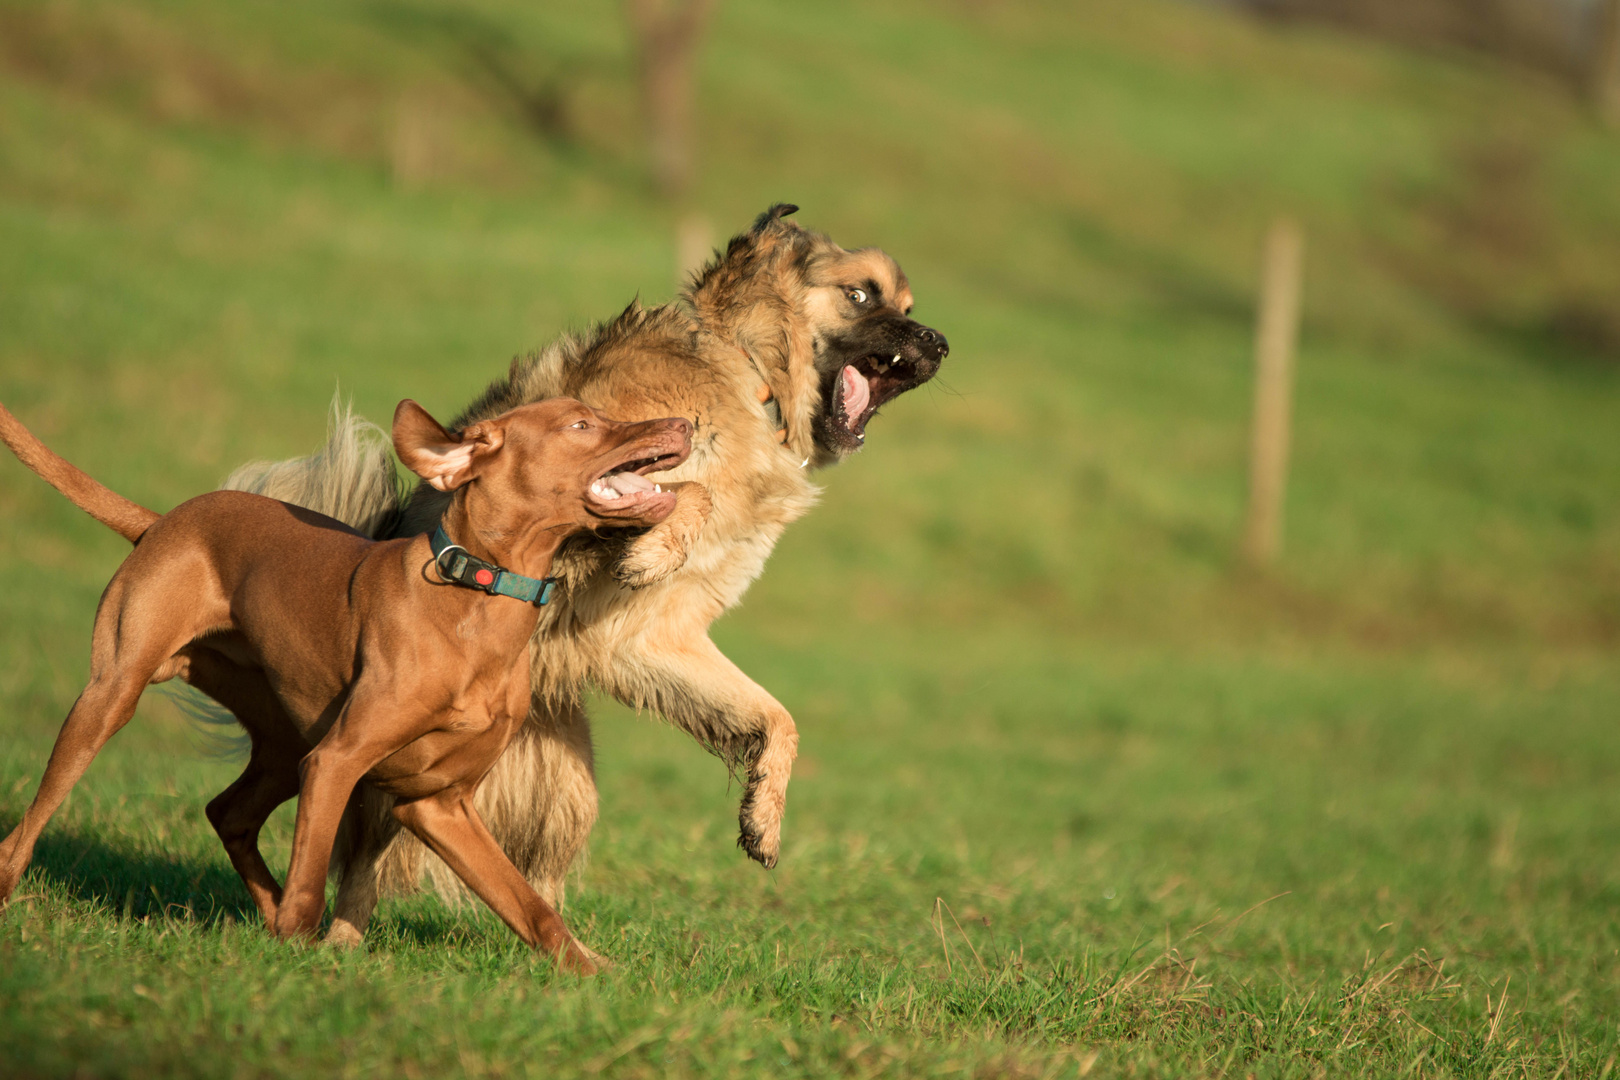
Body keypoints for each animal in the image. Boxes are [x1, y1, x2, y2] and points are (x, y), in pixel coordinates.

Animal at [0, 395, 690, 971]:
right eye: (581, 424)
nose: (685, 423)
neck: (478, 598)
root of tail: (166, 519)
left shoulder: (439, 802)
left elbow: (528, 904)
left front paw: (591, 971)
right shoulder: (338, 762)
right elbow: (312, 878)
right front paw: (303, 954)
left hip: (286, 743)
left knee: (229, 813)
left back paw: (268, 911)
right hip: (112, 693)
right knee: (30, 825)